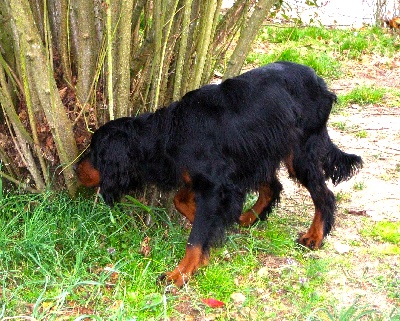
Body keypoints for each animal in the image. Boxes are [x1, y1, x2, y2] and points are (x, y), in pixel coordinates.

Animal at [75, 61, 362, 286]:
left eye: (94, 151)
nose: (76, 170)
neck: (169, 132)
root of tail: (320, 83)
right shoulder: (211, 179)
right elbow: (183, 202)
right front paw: (217, 230)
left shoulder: (214, 184)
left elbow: (195, 237)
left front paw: (179, 274)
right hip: (260, 152)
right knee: (272, 187)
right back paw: (248, 218)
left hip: (299, 152)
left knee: (324, 195)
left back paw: (314, 236)